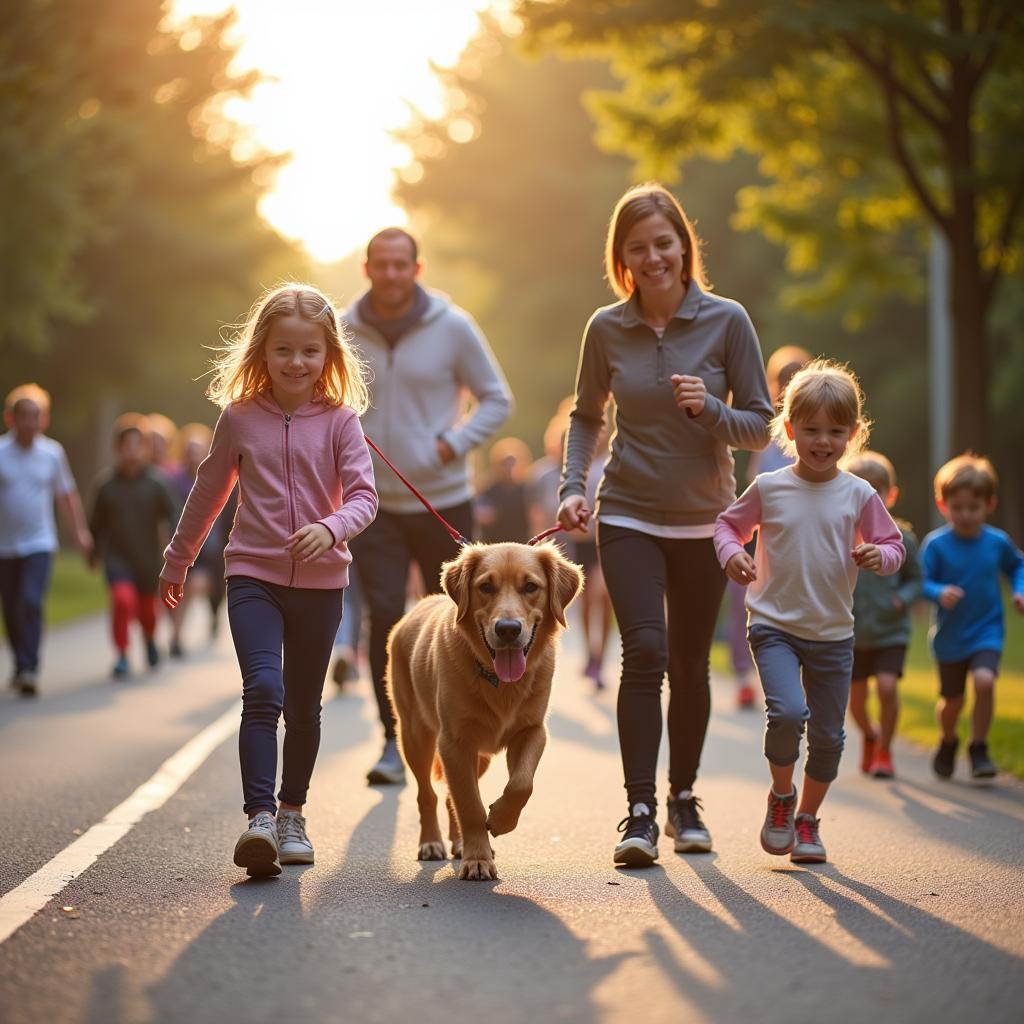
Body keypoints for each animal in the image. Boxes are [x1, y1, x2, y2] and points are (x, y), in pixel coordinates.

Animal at [385, 544, 581, 880]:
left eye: (530, 587)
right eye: (485, 587)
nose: (508, 629)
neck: (498, 681)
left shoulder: (532, 731)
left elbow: (521, 784)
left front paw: (500, 820)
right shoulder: (453, 743)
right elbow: (469, 804)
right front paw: (478, 859)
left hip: (482, 758)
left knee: (449, 796)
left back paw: (459, 842)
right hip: (414, 736)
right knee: (429, 794)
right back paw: (432, 843)